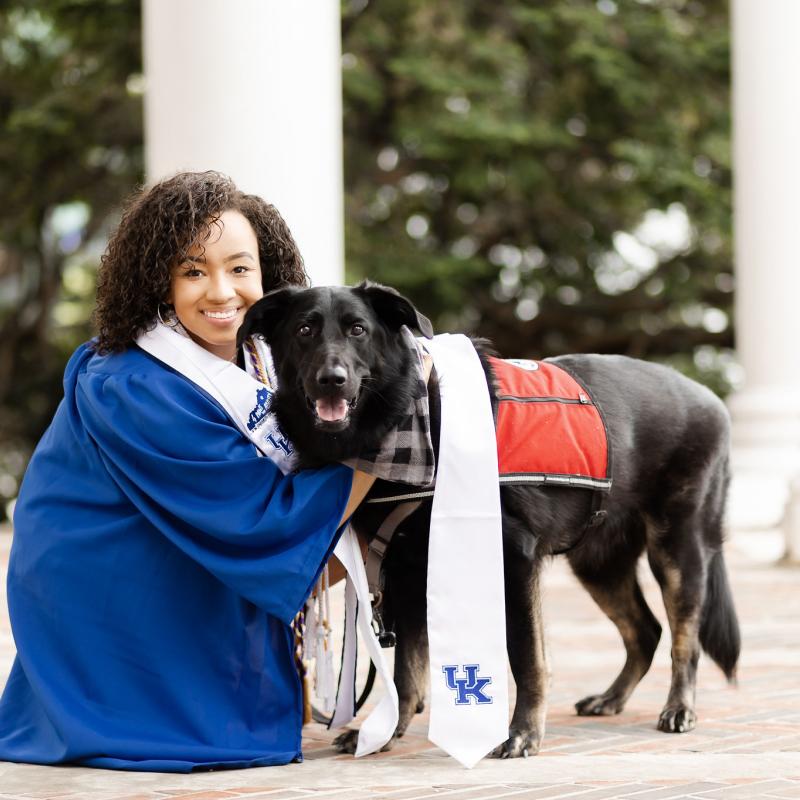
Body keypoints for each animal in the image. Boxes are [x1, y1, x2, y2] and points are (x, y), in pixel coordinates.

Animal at [239, 284, 744, 760]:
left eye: (357, 330)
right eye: (305, 330)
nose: (332, 381)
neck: (412, 417)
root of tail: (710, 399)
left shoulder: (514, 561)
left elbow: (524, 656)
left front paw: (523, 732)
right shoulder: (406, 570)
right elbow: (407, 668)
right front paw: (386, 733)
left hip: (677, 553)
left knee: (683, 639)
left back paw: (679, 708)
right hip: (599, 565)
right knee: (645, 631)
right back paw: (612, 698)